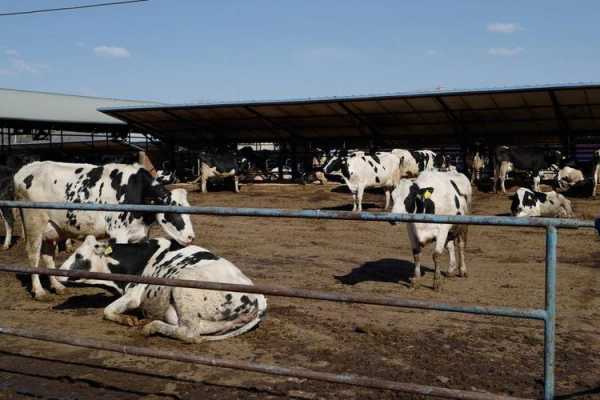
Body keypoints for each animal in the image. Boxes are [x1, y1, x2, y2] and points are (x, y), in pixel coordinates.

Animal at [14, 161, 196, 302]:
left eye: (188, 210)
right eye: (173, 212)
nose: (191, 237)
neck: (137, 190)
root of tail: (26, 169)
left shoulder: (140, 235)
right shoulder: (118, 233)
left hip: (52, 229)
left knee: (48, 256)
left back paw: (57, 286)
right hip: (34, 224)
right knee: (33, 256)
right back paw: (39, 291)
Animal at [59, 234, 266, 344]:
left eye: (79, 255)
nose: (58, 272)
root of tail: (260, 298)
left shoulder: (134, 293)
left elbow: (107, 310)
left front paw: (127, 319)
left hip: (184, 286)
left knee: (190, 333)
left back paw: (151, 327)